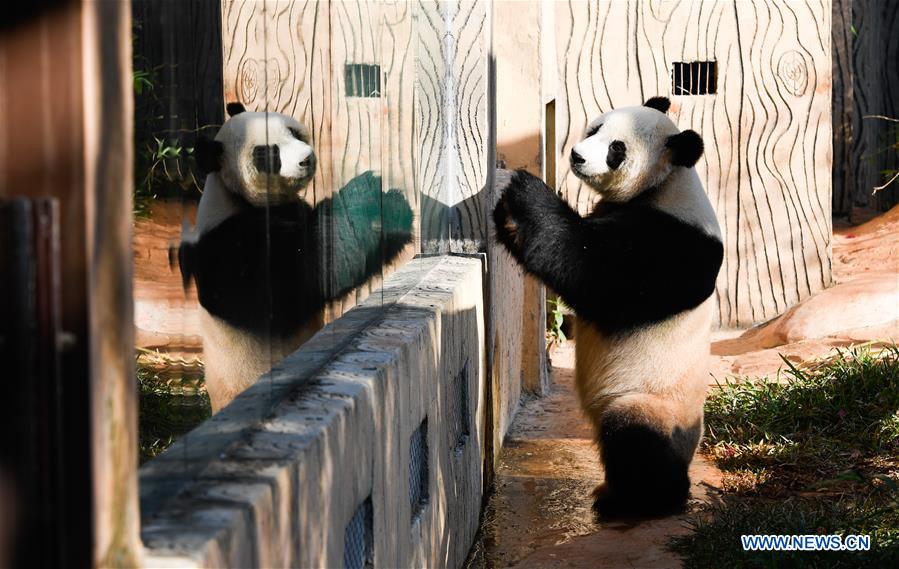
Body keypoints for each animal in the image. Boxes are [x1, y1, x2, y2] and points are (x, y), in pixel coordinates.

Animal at [180, 102, 412, 412]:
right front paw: (375, 198)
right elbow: (300, 279)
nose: (307, 158)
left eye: (293, 131)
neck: (232, 197)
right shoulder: (231, 252)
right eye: (267, 153)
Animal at [492, 96, 723, 517]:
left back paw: (640, 501)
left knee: (635, 438)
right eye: (595, 128)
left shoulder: (674, 244)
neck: (667, 182)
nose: (577, 155)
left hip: (655, 400)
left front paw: (520, 188)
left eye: (618, 149)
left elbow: (595, 273)